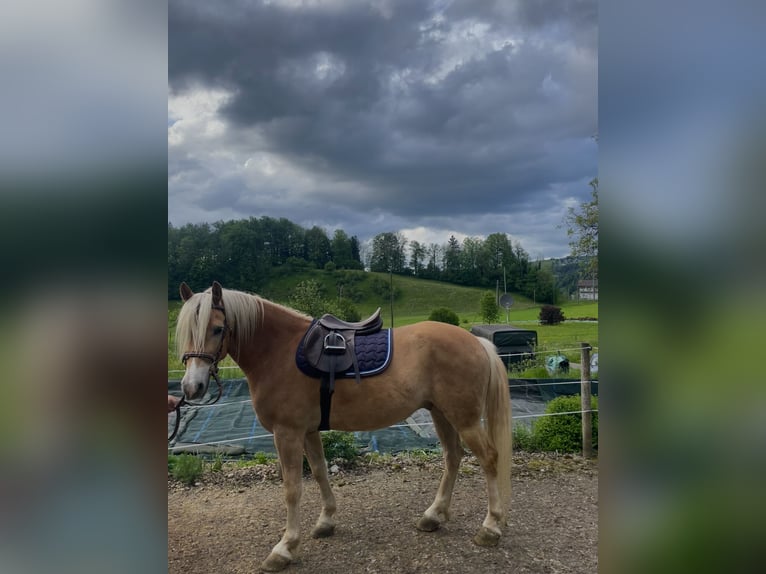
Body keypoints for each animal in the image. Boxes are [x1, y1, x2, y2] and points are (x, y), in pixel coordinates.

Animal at [173, 282, 510, 572]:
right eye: (185, 331)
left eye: (217, 329)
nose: (192, 387)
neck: (280, 352)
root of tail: (477, 342)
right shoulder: (308, 431)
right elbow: (320, 472)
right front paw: (325, 522)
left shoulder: (288, 433)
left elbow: (292, 489)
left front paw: (284, 548)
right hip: (442, 414)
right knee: (453, 457)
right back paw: (433, 516)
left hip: (464, 419)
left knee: (489, 459)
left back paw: (490, 527)